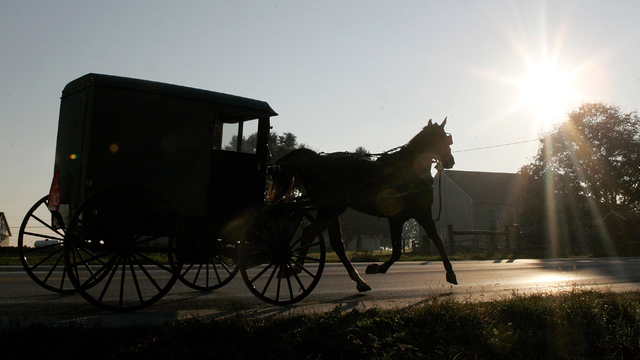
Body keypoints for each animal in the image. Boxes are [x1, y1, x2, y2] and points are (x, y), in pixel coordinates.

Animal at [268, 118, 458, 292]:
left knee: (334, 242)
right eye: (444, 140)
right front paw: (377, 267)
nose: (451, 161)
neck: (409, 171)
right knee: (310, 234)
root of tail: (314, 160)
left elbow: (434, 240)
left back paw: (357, 281)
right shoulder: (405, 216)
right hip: (331, 208)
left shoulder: (418, 215)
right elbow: (410, 247)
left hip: (333, 209)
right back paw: (296, 268)